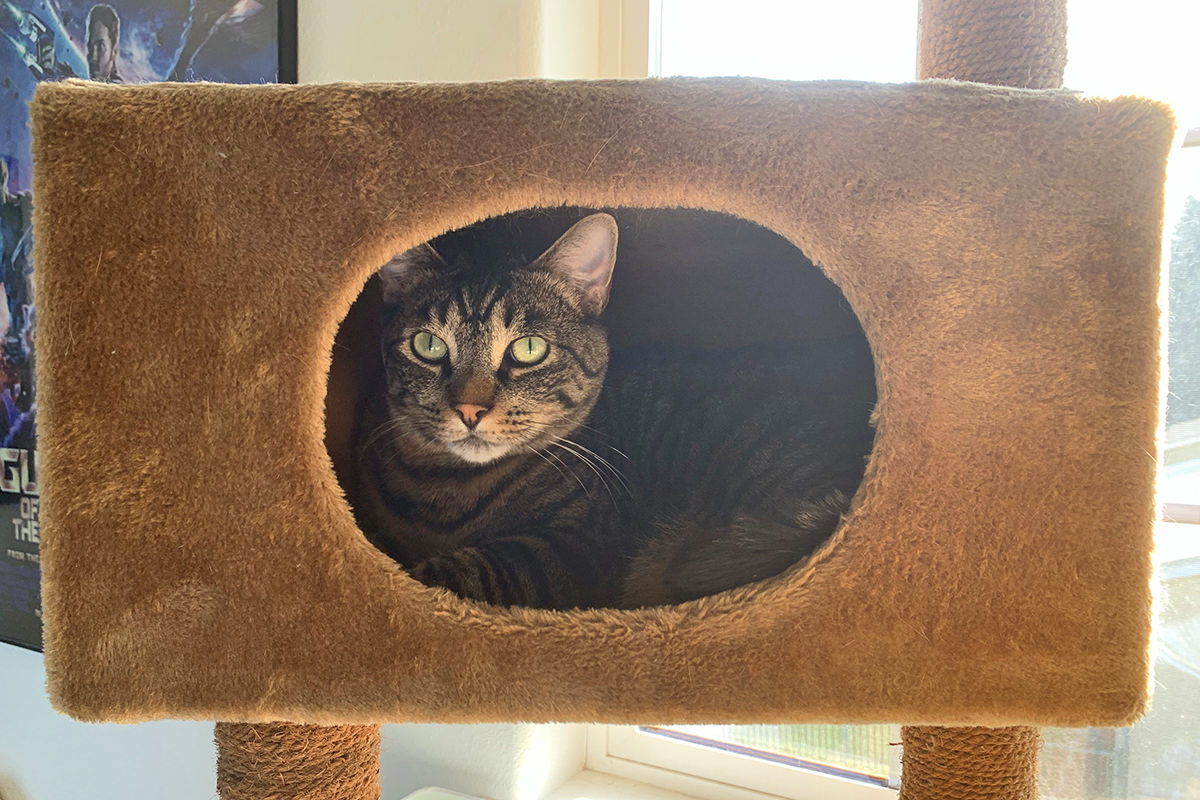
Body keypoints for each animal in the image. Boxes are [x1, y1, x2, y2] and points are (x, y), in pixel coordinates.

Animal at [348, 209, 873, 609]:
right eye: (429, 345)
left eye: (529, 349)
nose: (469, 409)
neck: (444, 492)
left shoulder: (574, 548)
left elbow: (459, 573)